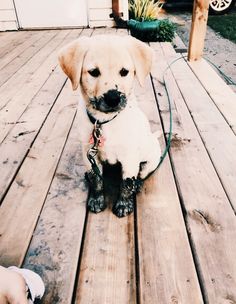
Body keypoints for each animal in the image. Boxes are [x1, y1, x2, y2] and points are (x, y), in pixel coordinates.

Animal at [58, 34, 161, 217]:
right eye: (93, 72)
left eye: (124, 72)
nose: (113, 98)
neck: (105, 122)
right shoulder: (88, 153)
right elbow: (97, 180)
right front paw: (97, 199)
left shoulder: (129, 157)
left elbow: (126, 183)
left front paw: (123, 204)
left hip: (150, 159)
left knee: (142, 173)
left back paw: (138, 183)